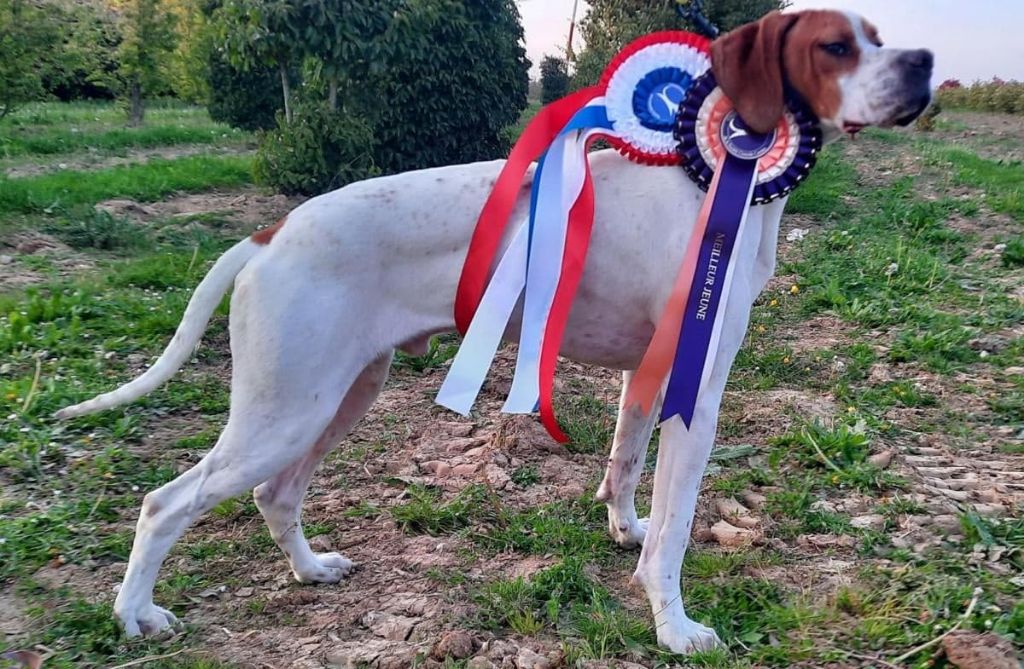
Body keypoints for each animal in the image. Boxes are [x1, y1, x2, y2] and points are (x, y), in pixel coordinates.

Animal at [58, 9, 937, 651]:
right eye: (835, 45)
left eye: (879, 37)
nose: (926, 62)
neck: (717, 177)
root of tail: (270, 233)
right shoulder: (700, 394)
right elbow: (678, 531)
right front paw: (675, 626)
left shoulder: (649, 376)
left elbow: (624, 468)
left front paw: (623, 530)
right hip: (283, 413)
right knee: (166, 504)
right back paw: (136, 615)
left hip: (337, 398)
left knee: (276, 495)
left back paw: (310, 570)